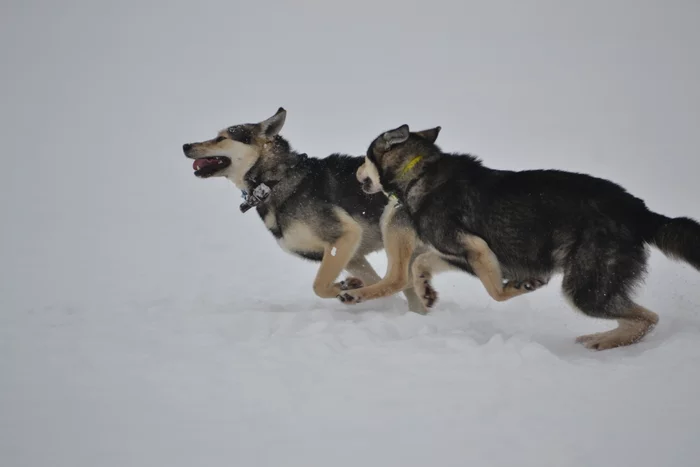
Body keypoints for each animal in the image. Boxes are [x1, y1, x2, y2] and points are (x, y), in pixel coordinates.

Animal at [342, 124, 700, 352]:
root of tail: (639, 209)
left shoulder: (474, 248)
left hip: (586, 288)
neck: (418, 171)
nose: (355, 174)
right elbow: (421, 265)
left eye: (365, 158)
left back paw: (605, 340)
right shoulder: (462, 252)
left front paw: (520, 286)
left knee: (648, 318)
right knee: (642, 318)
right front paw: (425, 290)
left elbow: (495, 292)